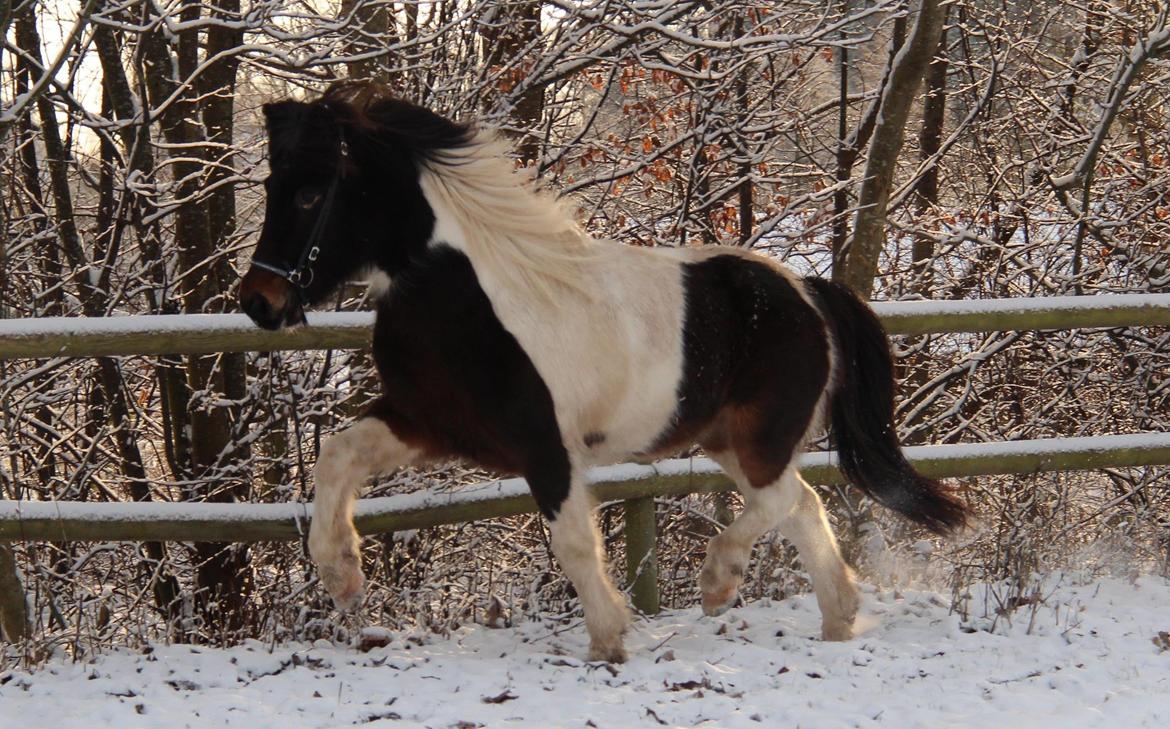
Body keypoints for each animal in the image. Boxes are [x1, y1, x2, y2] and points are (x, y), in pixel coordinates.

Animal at [239, 82, 968, 664]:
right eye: (273, 187)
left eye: (309, 193)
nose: (258, 302)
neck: (469, 295)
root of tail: (808, 291)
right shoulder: (426, 423)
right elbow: (337, 455)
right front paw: (341, 573)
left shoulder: (545, 446)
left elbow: (572, 541)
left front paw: (608, 638)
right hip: (729, 440)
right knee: (805, 505)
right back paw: (839, 618)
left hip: (760, 437)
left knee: (781, 499)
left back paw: (720, 583)